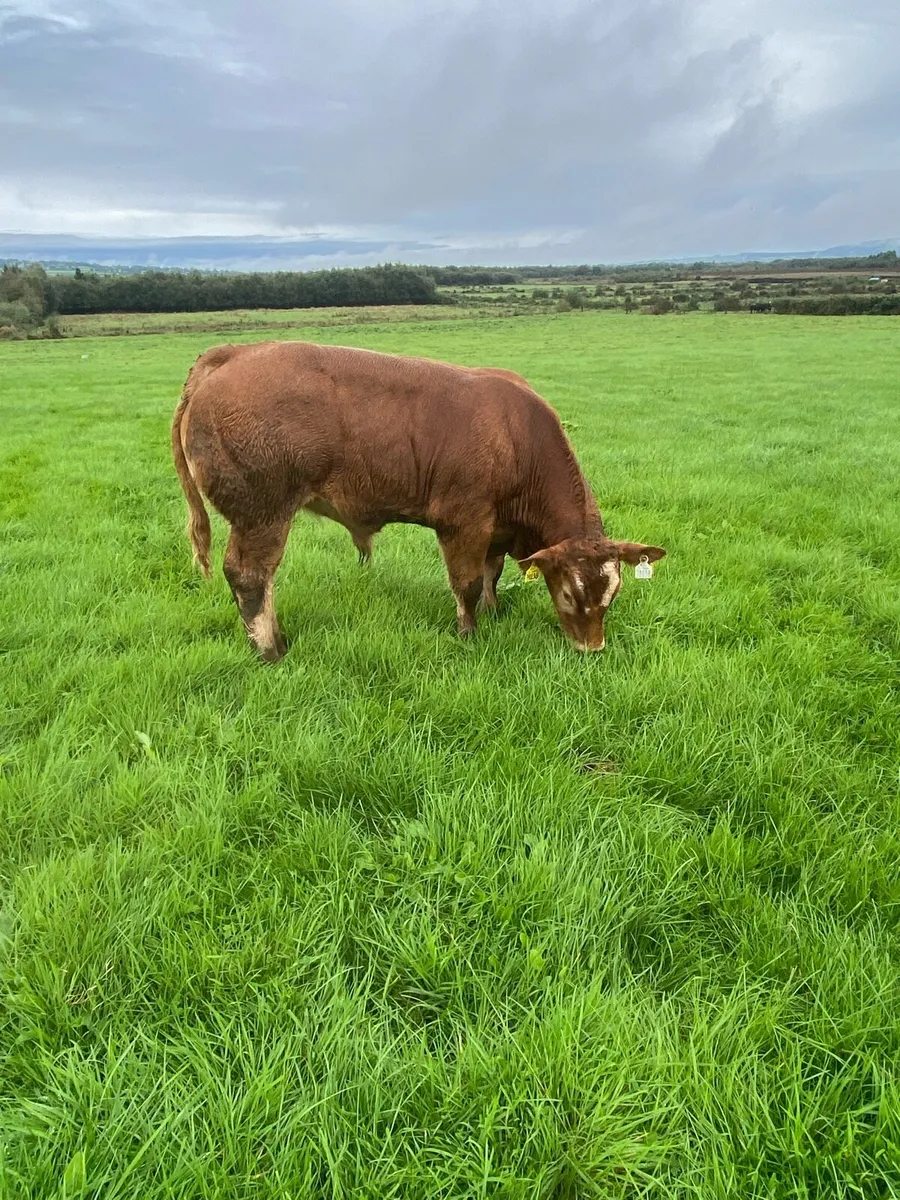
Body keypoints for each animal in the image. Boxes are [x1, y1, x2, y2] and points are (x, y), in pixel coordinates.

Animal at [171, 340, 665, 661]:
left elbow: (492, 572)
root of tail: (233, 354)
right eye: (567, 592)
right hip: (263, 514)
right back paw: (271, 649)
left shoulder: (497, 529)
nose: (592, 647)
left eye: (613, 594)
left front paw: (494, 610)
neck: (516, 436)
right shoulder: (463, 523)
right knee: (250, 578)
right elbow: (467, 583)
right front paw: (469, 633)